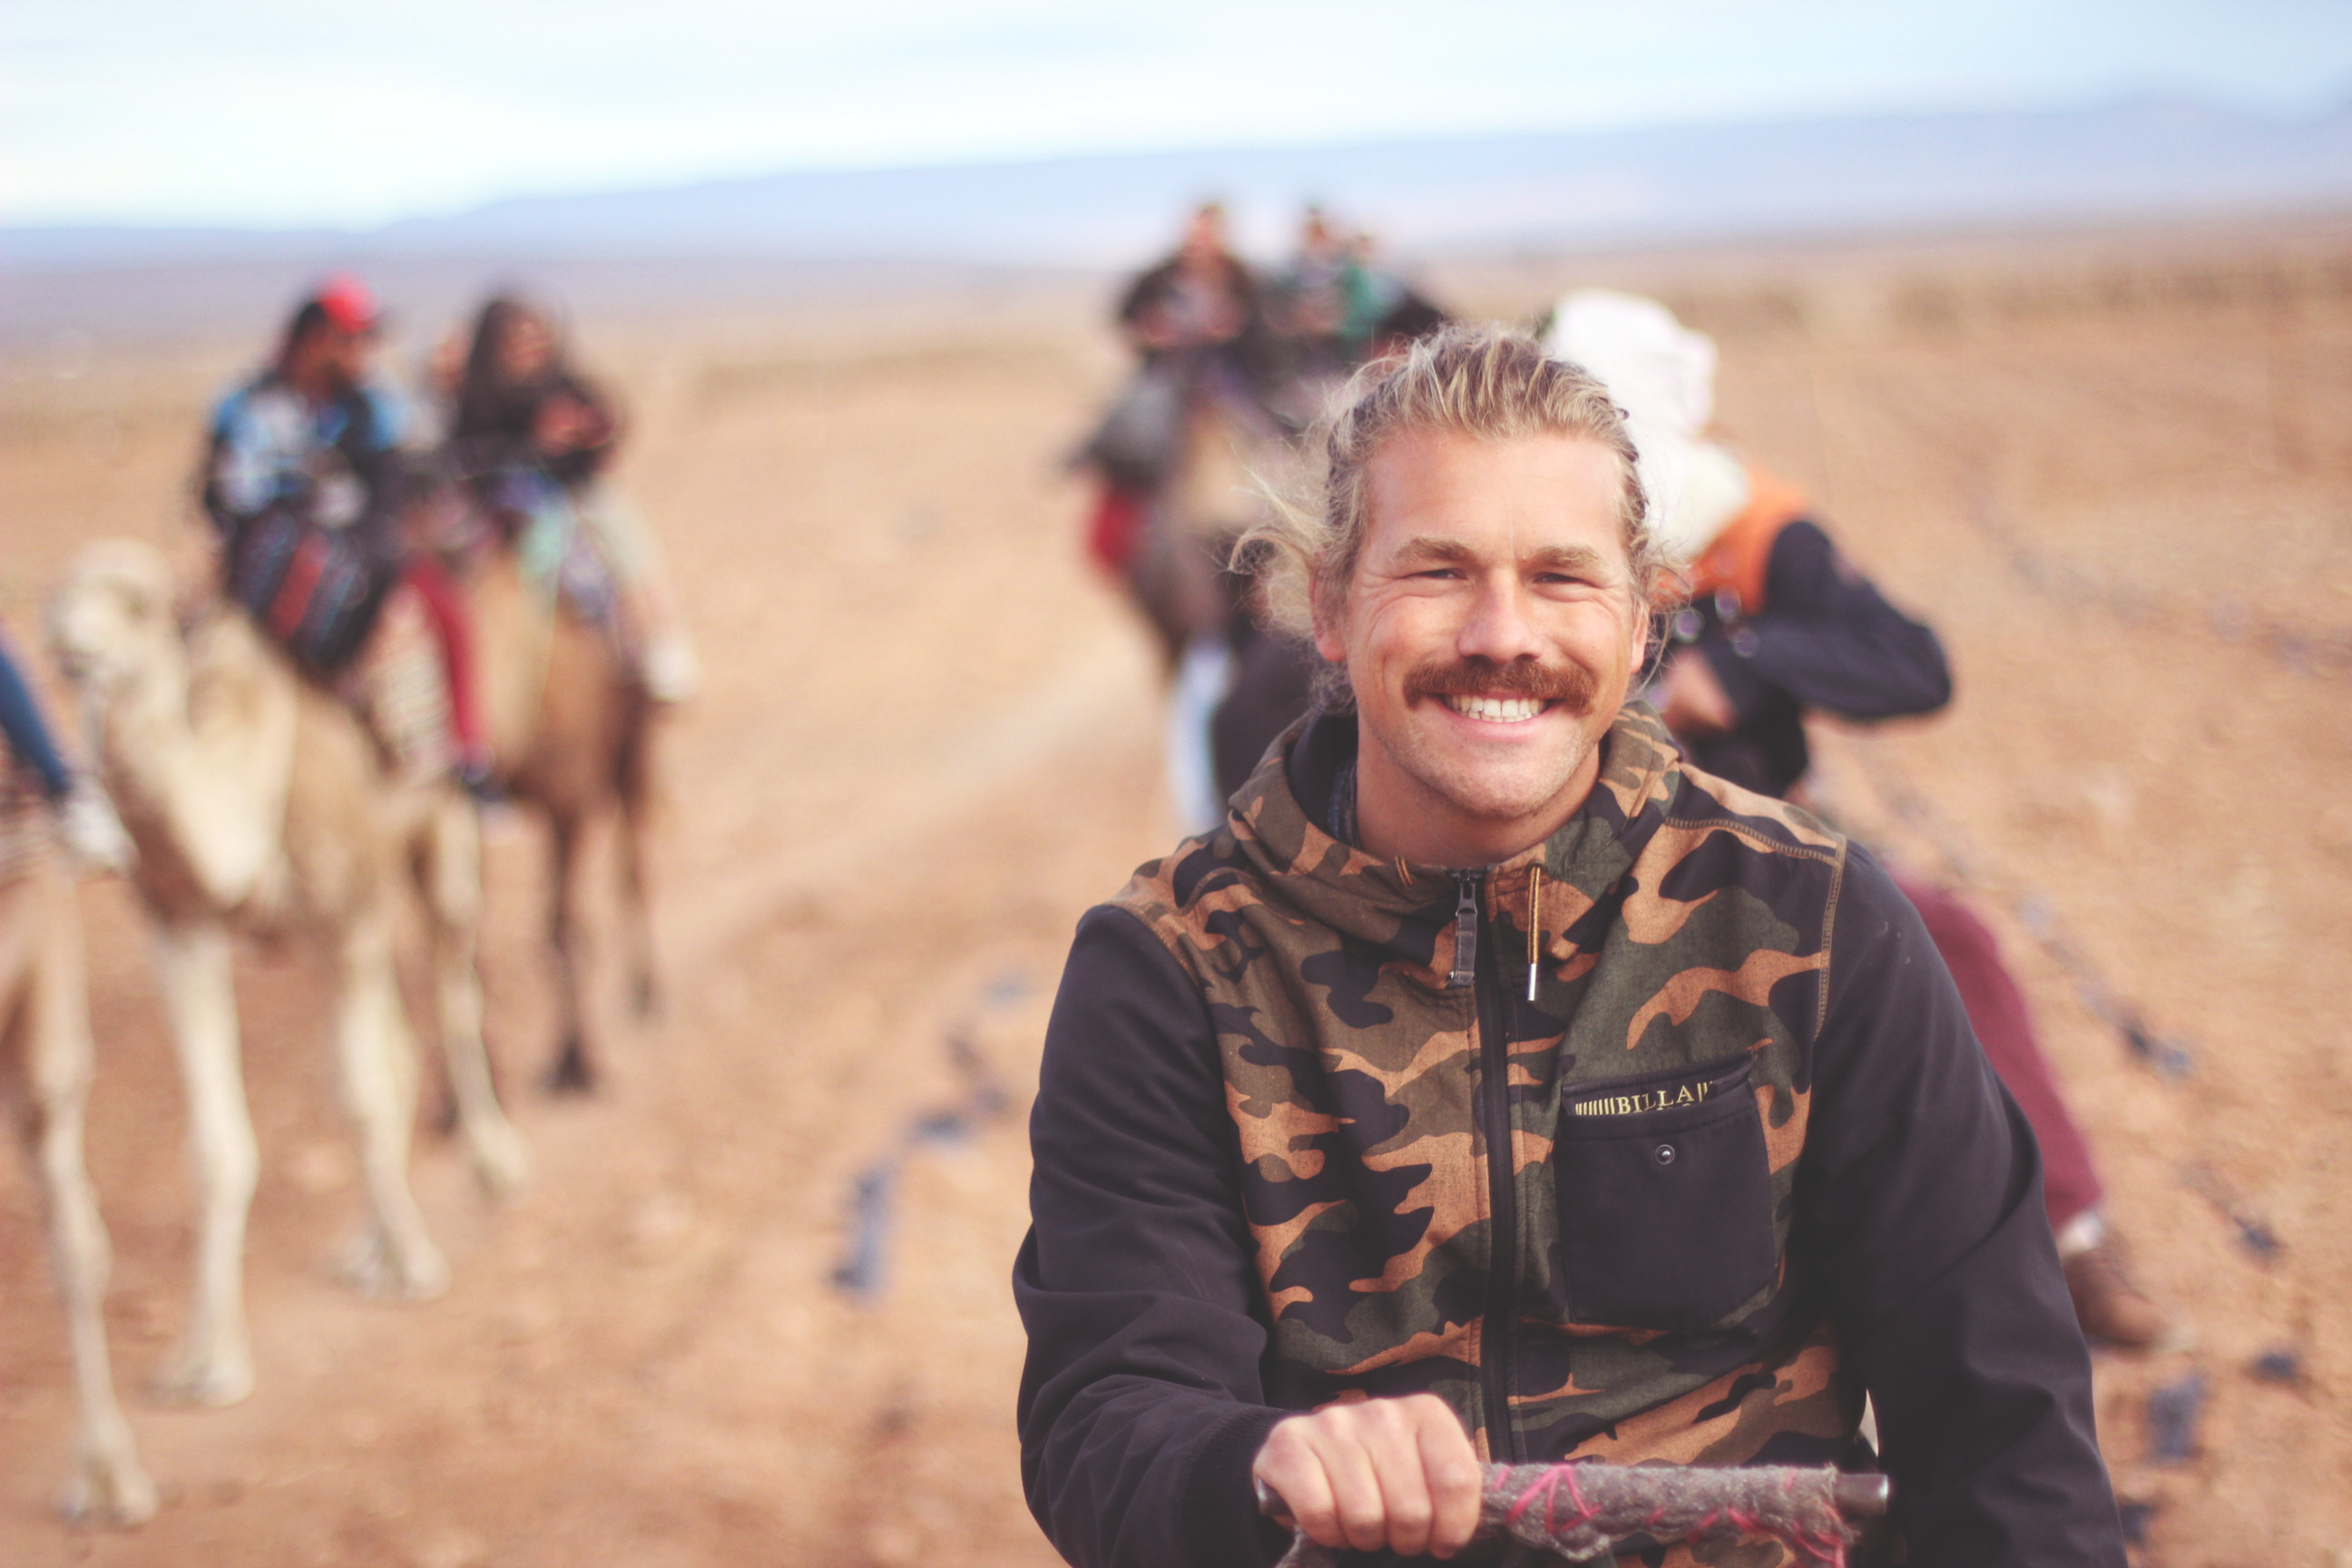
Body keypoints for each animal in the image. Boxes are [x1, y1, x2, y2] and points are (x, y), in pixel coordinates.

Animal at [45, 543, 526, 1410]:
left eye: (136, 605)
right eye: (51, 603)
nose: (70, 647)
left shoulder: (346, 905)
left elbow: (362, 1097)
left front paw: (414, 1265)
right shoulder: (182, 929)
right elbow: (215, 1148)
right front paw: (204, 1362)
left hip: (442, 819)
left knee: (450, 984)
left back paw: (491, 1162)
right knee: (396, 1040)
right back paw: (364, 1247)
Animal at [463, 535, 658, 1091]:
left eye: (512, 653)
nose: (473, 765)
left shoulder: (568, 804)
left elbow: (563, 929)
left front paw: (576, 1062)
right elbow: (471, 951)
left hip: (633, 747)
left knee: (633, 861)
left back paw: (647, 992)